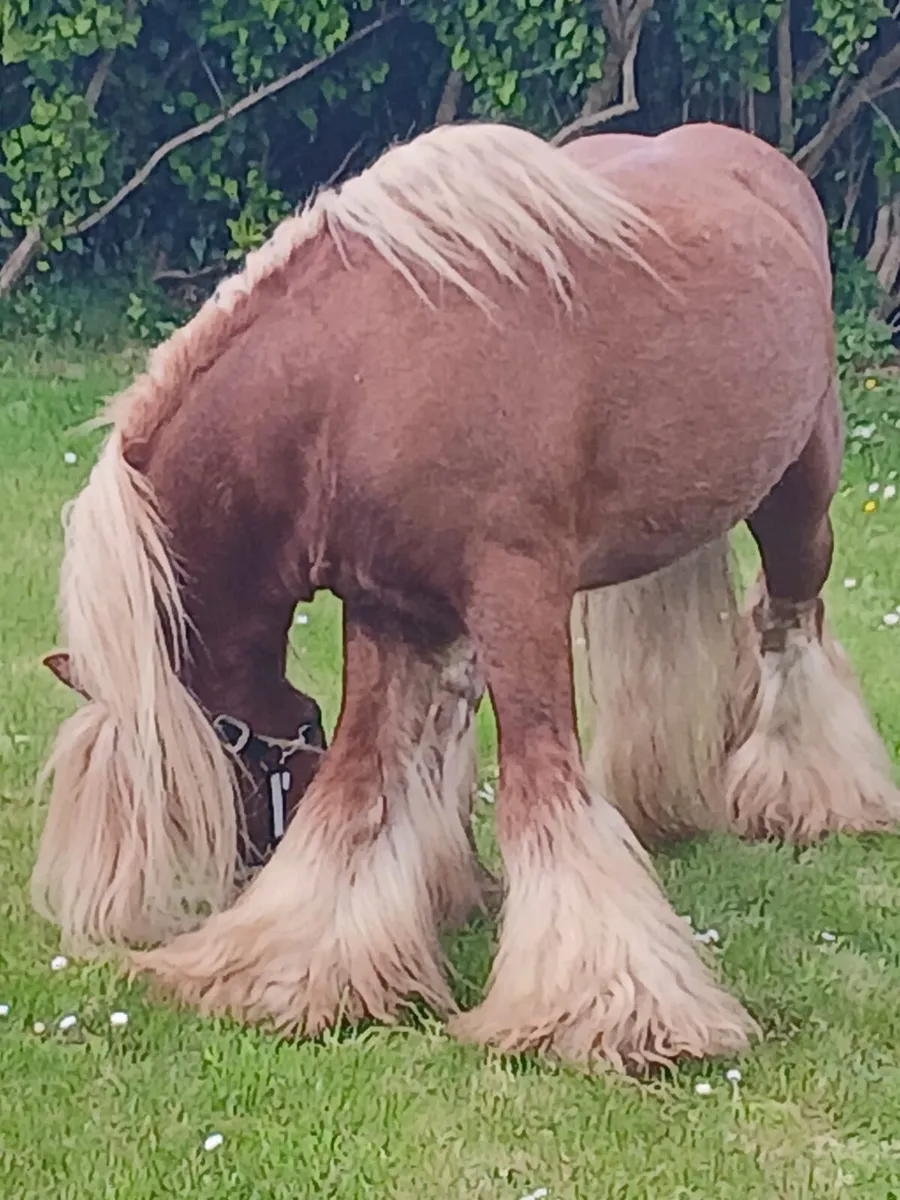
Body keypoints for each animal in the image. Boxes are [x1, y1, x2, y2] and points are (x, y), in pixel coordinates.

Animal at [34, 119, 900, 1073]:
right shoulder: (389, 609)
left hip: (799, 500)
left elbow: (539, 783)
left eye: (214, 742)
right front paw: (295, 966)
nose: (248, 861)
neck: (360, 374)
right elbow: (365, 779)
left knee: (790, 623)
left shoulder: (517, 596)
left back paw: (814, 797)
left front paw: (602, 1009)